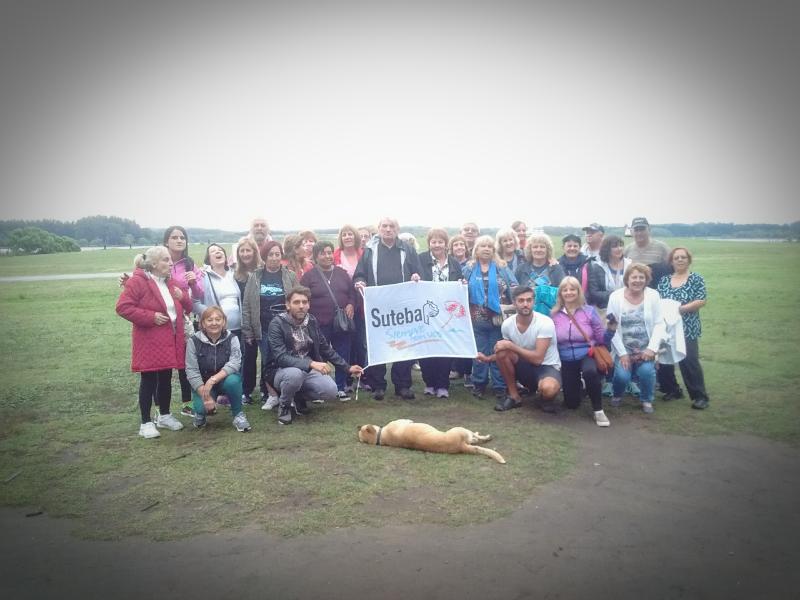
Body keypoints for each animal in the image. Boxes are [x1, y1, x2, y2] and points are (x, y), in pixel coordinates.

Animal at [358, 419, 506, 464]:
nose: (358, 427)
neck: (381, 437)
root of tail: (461, 446)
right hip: (462, 430)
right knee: (476, 437)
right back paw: (485, 436)